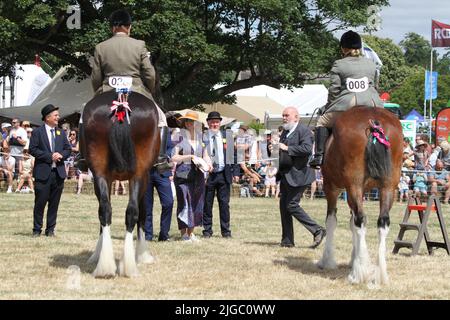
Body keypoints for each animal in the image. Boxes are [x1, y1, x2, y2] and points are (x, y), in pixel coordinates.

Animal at [81, 90, 161, 278]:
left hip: (100, 172)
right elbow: (143, 211)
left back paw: (105, 267)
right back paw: (128, 266)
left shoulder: (105, 178)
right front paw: (143, 254)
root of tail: (120, 106)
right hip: (139, 175)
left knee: (105, 209)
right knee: (132, 211)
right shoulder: (145, 178)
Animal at [318, 107, 402, 284]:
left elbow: (331, 221)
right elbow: (351, 224)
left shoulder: (331, 188)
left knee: (360, 220)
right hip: (388, 187)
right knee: (382, 222)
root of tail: (374, 123)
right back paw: (380, 273)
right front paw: (354, 258)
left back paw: (358, 274)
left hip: (353, 186)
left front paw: (328, 260)